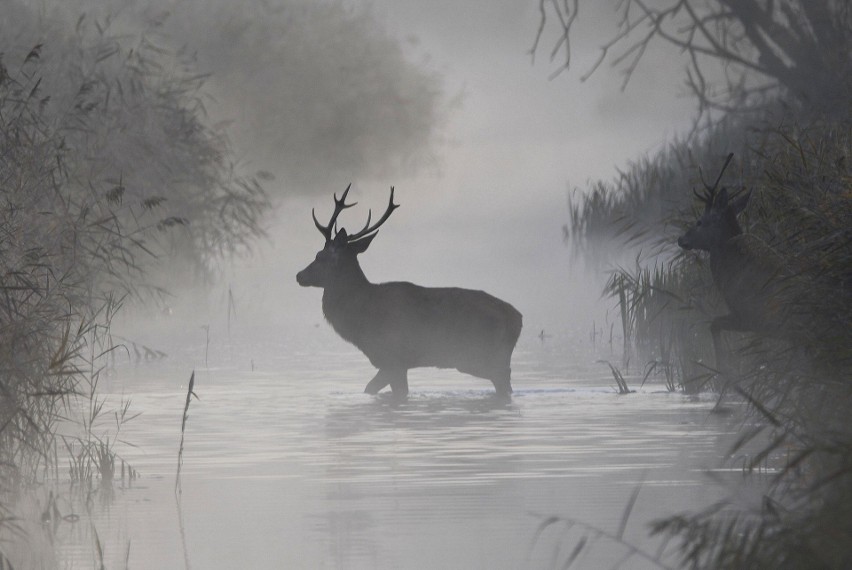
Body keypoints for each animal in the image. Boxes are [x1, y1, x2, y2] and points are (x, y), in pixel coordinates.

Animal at [296, 185, 524, 394]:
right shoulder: (394, 363)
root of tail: (518, 318)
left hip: (479, 355)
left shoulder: (392, 358)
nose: (299, 275)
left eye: (319, 256)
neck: (361, 317)